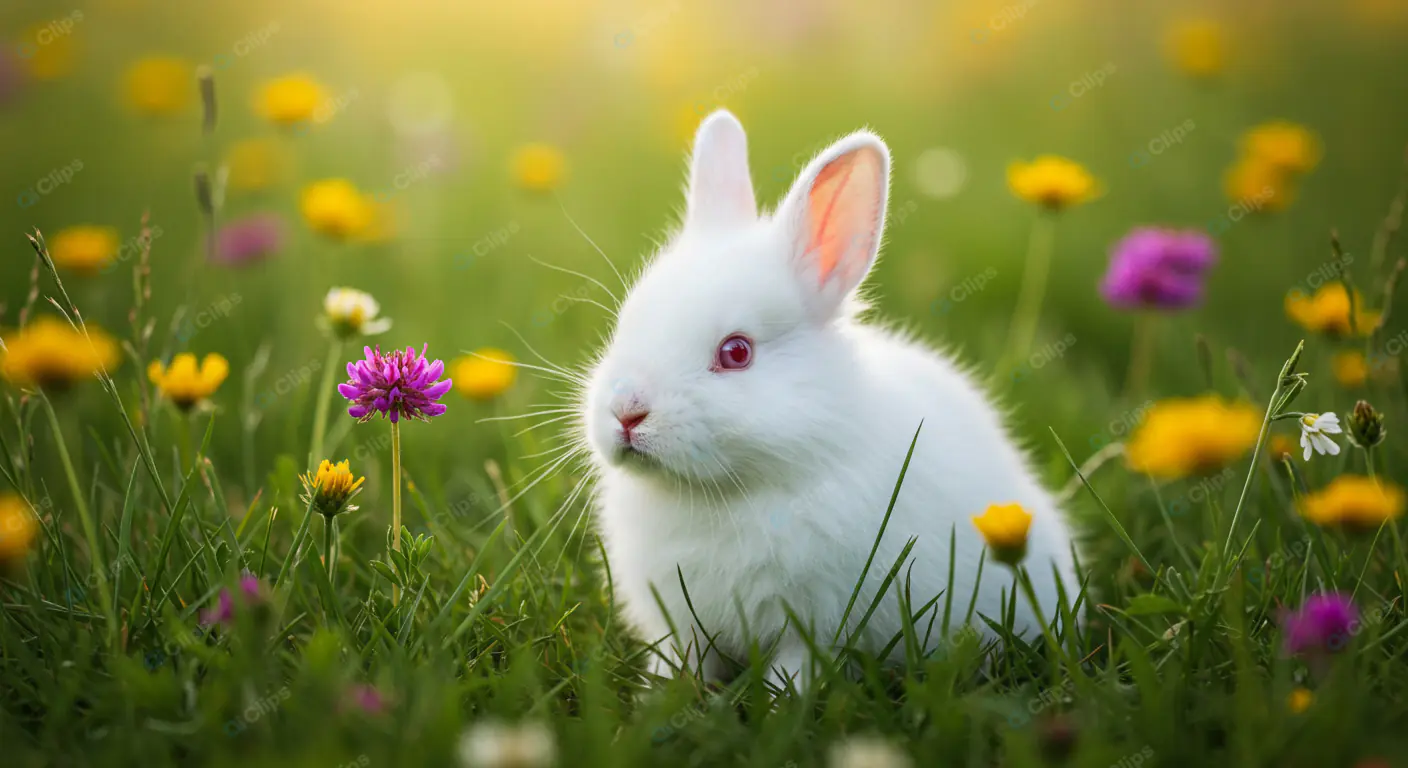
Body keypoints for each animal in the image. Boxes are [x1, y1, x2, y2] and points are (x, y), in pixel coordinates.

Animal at [581, 109, 1080, 691]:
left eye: (736, 352)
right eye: (625, 324)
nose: (626, 412)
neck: (721, 494)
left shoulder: (813, 624)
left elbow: (792, 672)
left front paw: (780, 703)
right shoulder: (679, 623)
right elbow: (679, 663)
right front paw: (659, 699)